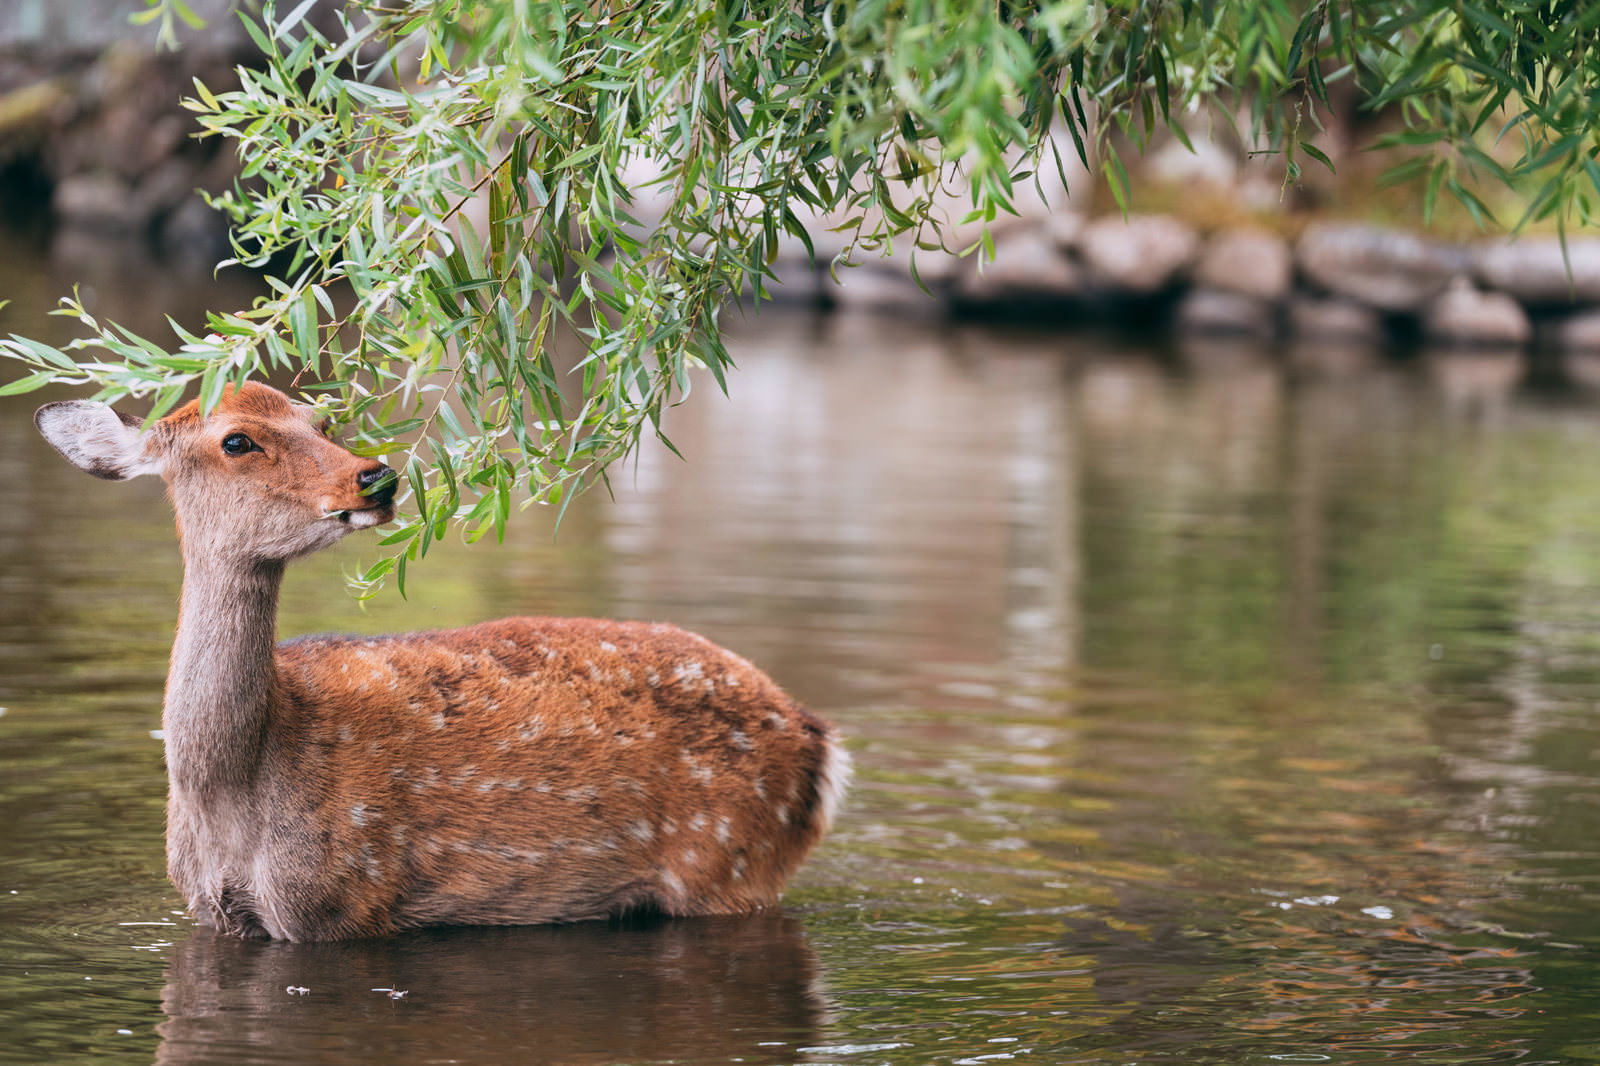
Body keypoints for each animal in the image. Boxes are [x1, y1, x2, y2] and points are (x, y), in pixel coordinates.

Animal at [34, 381, 850, 941]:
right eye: (237, 440)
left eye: (318, 418)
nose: (375, 475)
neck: (232, 793)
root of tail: (819, 740)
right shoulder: (219, 917)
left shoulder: (344, 903)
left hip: (729, 861)